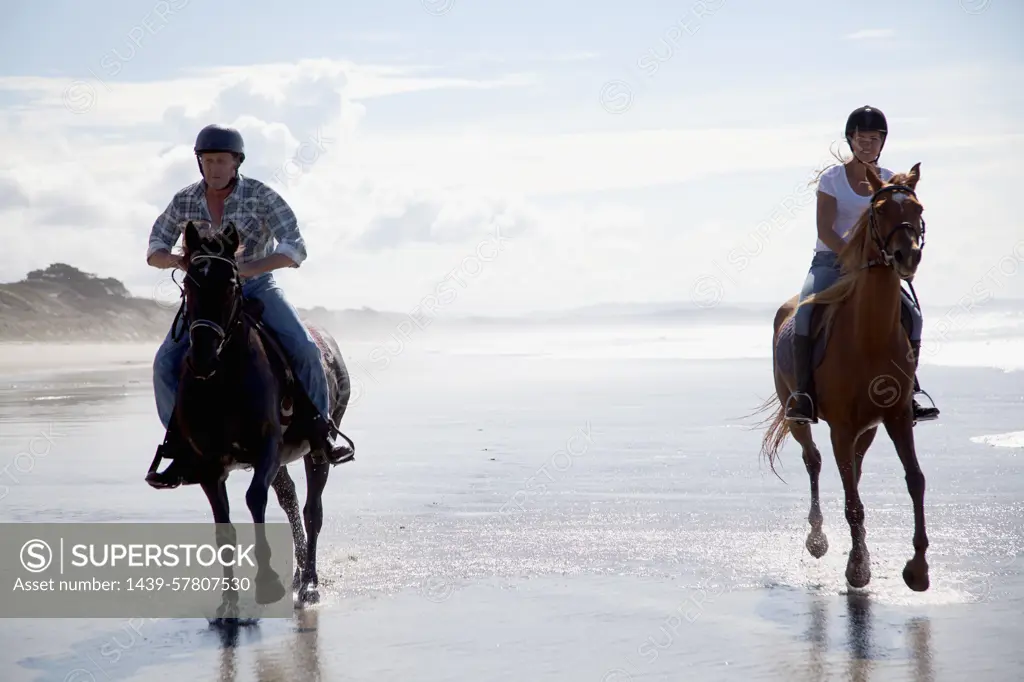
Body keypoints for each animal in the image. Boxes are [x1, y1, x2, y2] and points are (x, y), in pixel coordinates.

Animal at [761, 160, 929, 589]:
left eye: (917, 208)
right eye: (880, 210)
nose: (907, 256)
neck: (868, 337)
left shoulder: (896, 418)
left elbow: (915, 480)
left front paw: (918, 569)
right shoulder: (840, 426)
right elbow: (852, 501)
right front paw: (857, 568)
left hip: (867, 429)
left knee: (853, 468)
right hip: (799, 417)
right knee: (815, 461)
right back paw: (817, 538)